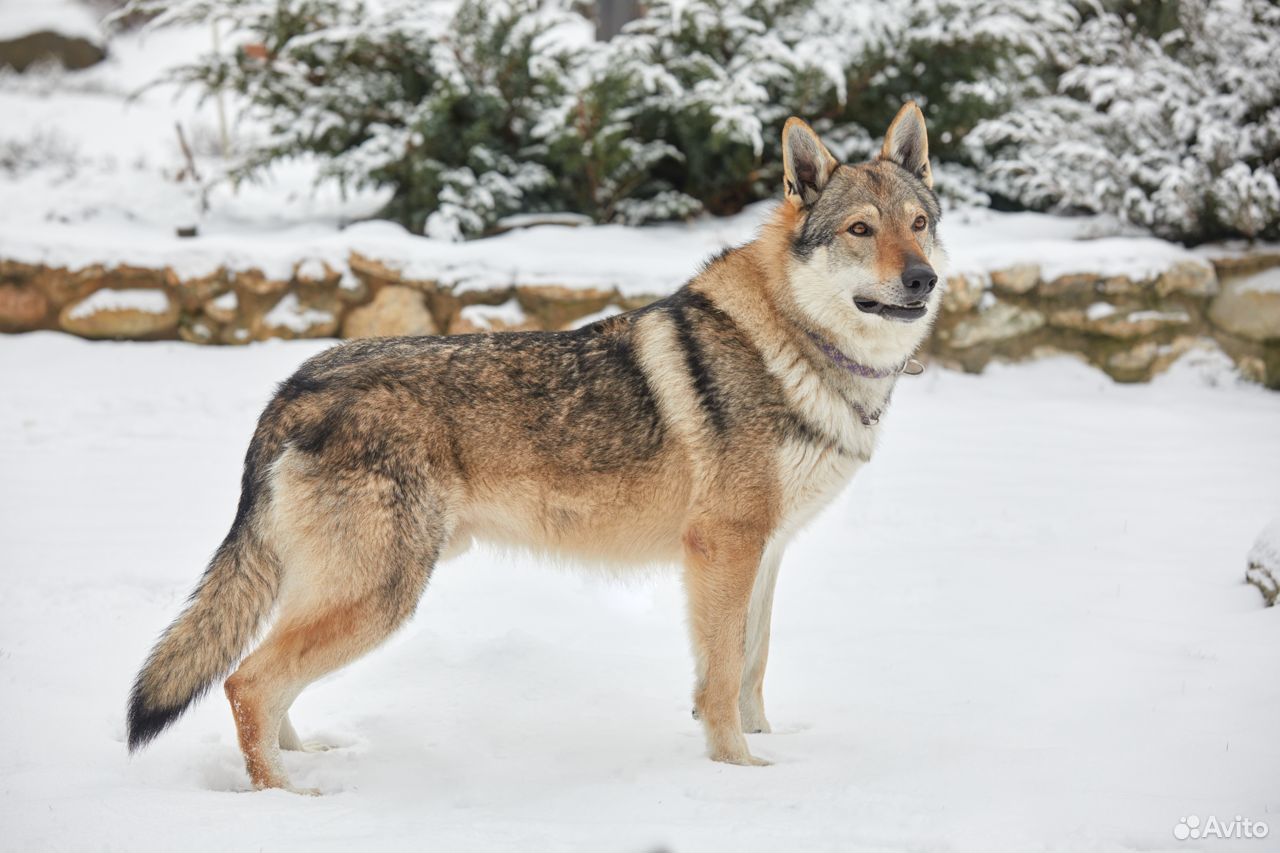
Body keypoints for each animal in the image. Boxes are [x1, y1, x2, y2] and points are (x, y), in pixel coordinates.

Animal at [127, 101, 952, 788]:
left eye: (918, 222)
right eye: (860, 230)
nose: (924, 280)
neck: (796, 344)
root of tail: (296, 382)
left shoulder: (766, 552)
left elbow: (751, 668)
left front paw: (768, 748)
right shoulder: (723, 548)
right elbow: (719, 678)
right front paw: (743, 776)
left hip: (347, 585)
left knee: (267, 679)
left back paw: (308, 756)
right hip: (383, 593)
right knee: (246, 681)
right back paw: (289, 796)